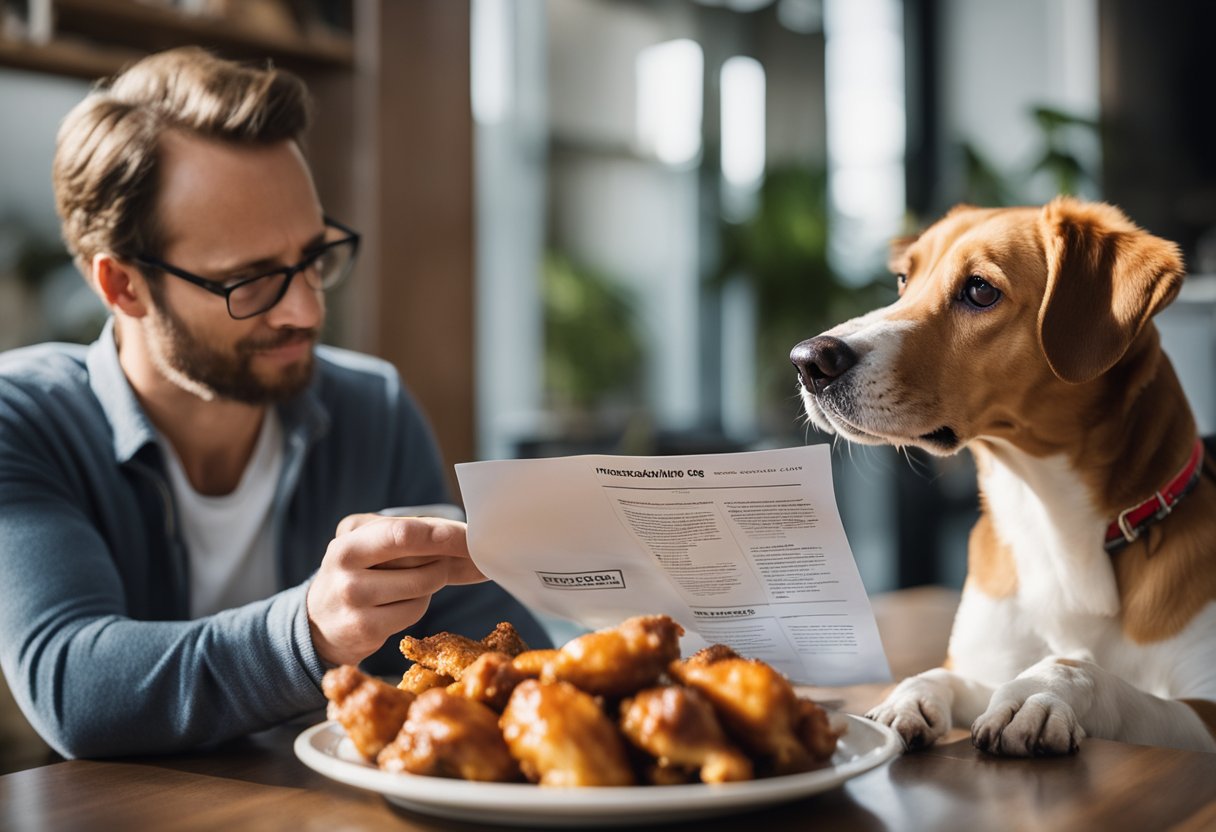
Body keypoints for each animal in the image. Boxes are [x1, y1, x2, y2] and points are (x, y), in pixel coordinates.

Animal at [787, 198, 1216, 759]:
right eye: (905, 279)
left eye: (980, 290)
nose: (808, 360)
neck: (1051, 525)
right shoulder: (980, 665)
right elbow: (939, 674)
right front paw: (907, 697)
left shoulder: (1206, 714)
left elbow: (1075, 667)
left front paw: (1038, 694)